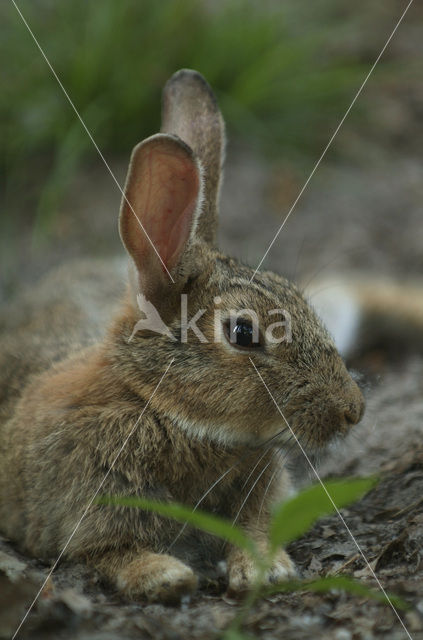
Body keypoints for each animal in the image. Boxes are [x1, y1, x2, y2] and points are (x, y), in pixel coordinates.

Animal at [0, 71, 364, 604]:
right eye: (242, 333)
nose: (353, 410)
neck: (159, 410)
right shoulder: (81, 515)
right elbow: (109, 553)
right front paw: (165, 576)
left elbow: (256, 529)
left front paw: (264, 569)